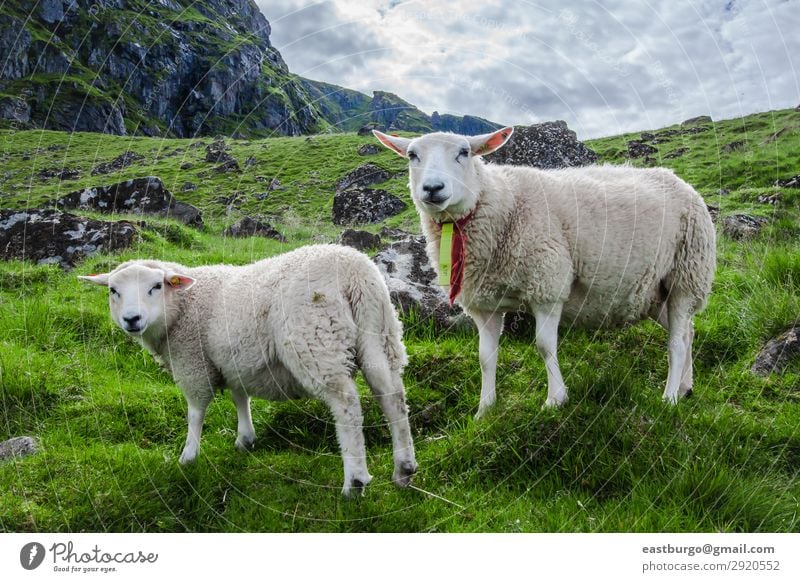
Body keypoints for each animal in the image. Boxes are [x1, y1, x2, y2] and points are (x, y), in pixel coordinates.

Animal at [79, 245, 418, 498]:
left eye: (156, 286)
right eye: (113, 290)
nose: (131, 319)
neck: (183, 307)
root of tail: (353, 271)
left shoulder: (193, 363)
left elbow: (195, 412)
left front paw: (188, 456)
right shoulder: (232, 360)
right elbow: (240, 396)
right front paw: (245, 438)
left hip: (317, 339)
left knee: (346, 403)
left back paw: (355, 481)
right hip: (380, 333)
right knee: (392, 396)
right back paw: (403, 469)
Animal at [376, 128, 720, 420]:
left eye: (464, 152)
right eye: (412, 155)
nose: (433, 188)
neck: (501, 201)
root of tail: (678, 179)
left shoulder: (547, 284)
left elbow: (544, 345)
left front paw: (555, 400)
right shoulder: (484, 303)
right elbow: (485, 356)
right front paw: (484, 410)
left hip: (686, 274)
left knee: (676, 342)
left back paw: (669, 397)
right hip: (654, 293)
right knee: (686, 332)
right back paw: (685, 387)